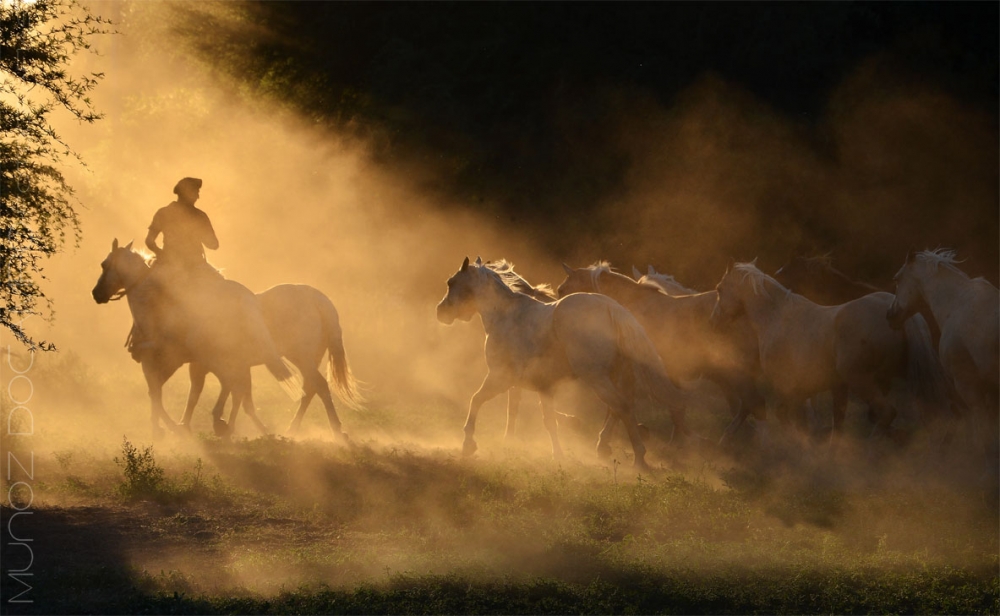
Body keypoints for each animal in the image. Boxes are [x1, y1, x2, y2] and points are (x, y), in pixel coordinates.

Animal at [434, 255, 692, 466]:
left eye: (451, 283)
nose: (441, 312)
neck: (508, 317)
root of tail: (613, 309)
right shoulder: (542, 387)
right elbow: (547, 419)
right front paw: (557, 453)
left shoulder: (500, 377)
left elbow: (476, 400)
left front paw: (468, 445)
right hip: (614, 375)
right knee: (620, 408)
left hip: (596, 378)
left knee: (621, 407)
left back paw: (639, 456)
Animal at [556, 262, 764, 446]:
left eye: (561, 291)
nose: (556, 304)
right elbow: (672, 405)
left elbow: (629, 401)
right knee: (747, 405)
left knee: (750, 403)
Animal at [712, 262, 944, 452]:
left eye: (719, 289)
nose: (715, 320)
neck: (776, 318)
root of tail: (900, 317)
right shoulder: (833, 387)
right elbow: (836, 422)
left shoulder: (791, 388)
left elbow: (787, 417)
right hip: (901, 378)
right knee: (926, 417)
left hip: (862, 380)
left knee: (887, 413)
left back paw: (870, 451)